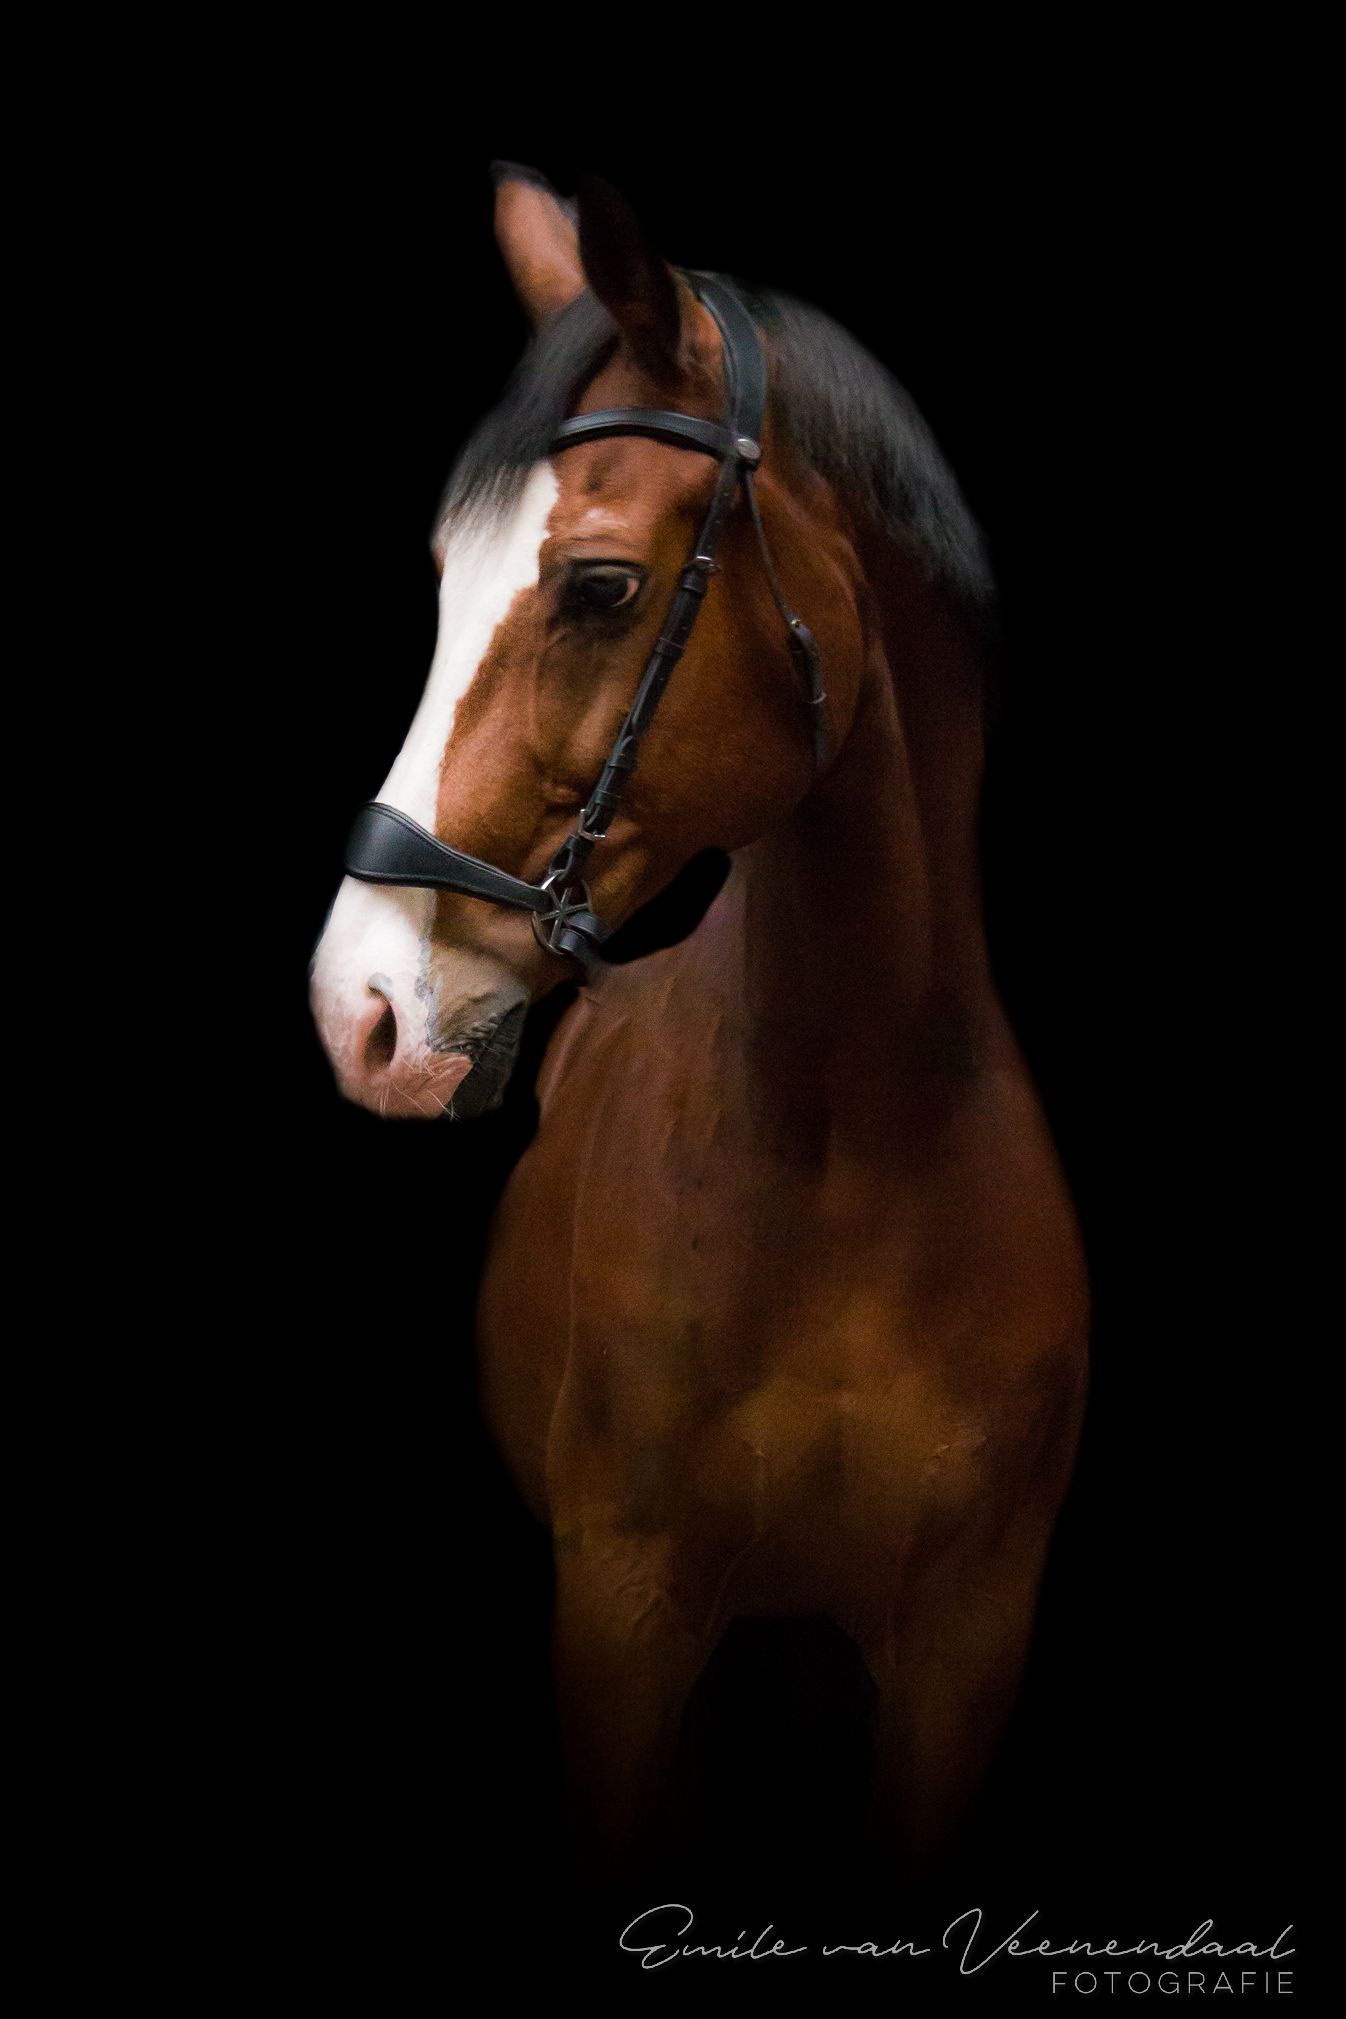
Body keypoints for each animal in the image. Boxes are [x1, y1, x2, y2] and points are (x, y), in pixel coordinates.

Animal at [309, 163, 1089, 1889]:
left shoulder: (965, 1650)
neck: (853, 1151)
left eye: (597, 586)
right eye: (443, 583)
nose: (358, 1009)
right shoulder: (622, 1616)